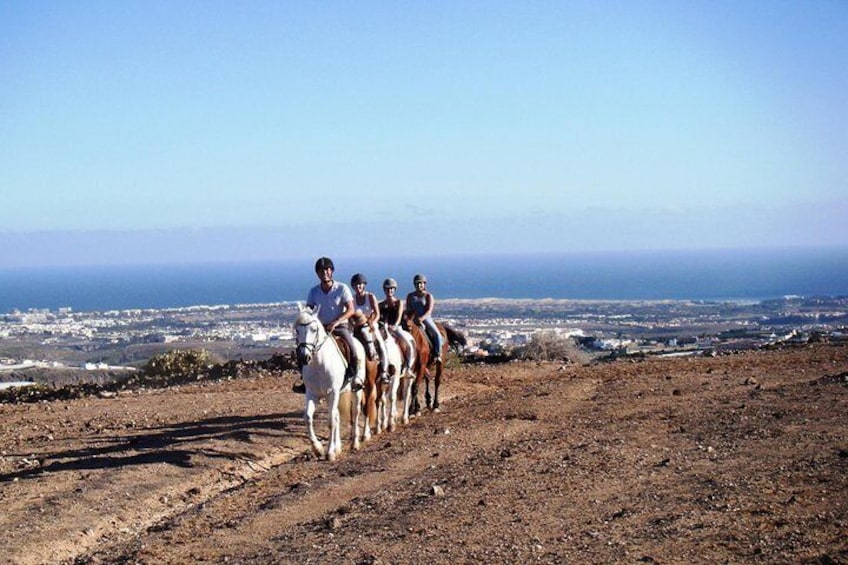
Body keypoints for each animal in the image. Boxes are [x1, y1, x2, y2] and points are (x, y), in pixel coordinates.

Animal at [294, 304, 364, 458]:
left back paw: (354, 443)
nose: (304, 357)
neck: (319, 364)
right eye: (297, 330)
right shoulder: (312, 394)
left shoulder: (332, 392)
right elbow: (308, 417)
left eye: (314, 329)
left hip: (355, 391)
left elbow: (331, 421)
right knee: (337, 415)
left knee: (355, 413)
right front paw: (318, 448)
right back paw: (338, 446)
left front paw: (330, 452)